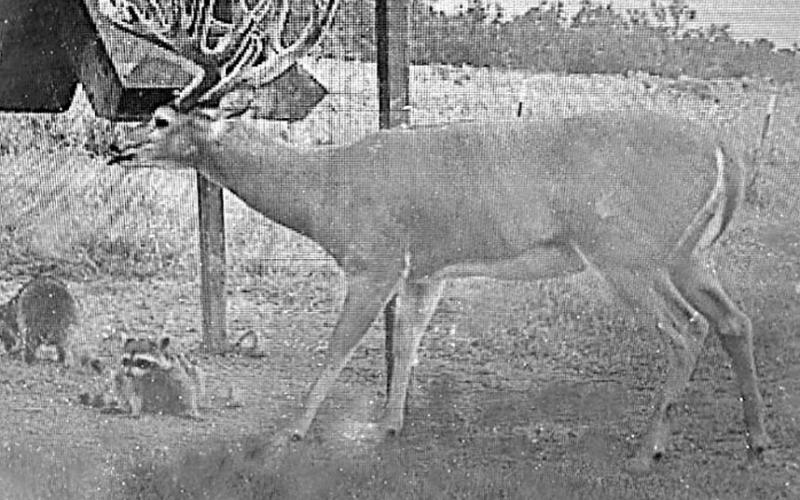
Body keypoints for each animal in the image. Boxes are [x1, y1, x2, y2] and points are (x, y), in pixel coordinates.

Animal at [102, 0, 770, 472]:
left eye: (160, 118)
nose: (113, 145)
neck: (327, 191)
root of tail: (723, 148)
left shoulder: (375, 261)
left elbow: (337, 347)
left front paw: (291, 432)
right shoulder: (426, 272)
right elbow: (408, 345)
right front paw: (389, 427)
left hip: (625, 252)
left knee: (685, 331)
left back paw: (646, 452)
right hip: (686, 254)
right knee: (734, 320)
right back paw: (757, 440)